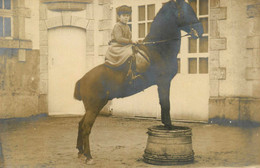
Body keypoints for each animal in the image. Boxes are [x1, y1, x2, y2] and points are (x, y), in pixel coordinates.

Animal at [73, 0, 203, 163]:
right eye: (184, 11)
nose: (201, 30)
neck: (158, 49)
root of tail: (83, 79)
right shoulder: (164, 82)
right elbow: (166, 104)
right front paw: (168, 125)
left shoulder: (162, 83)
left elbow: (163, 104)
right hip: (94, 106)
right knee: (86, 127)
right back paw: (89, 156)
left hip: (93, 106)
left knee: (80, 123)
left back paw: (80, 152)